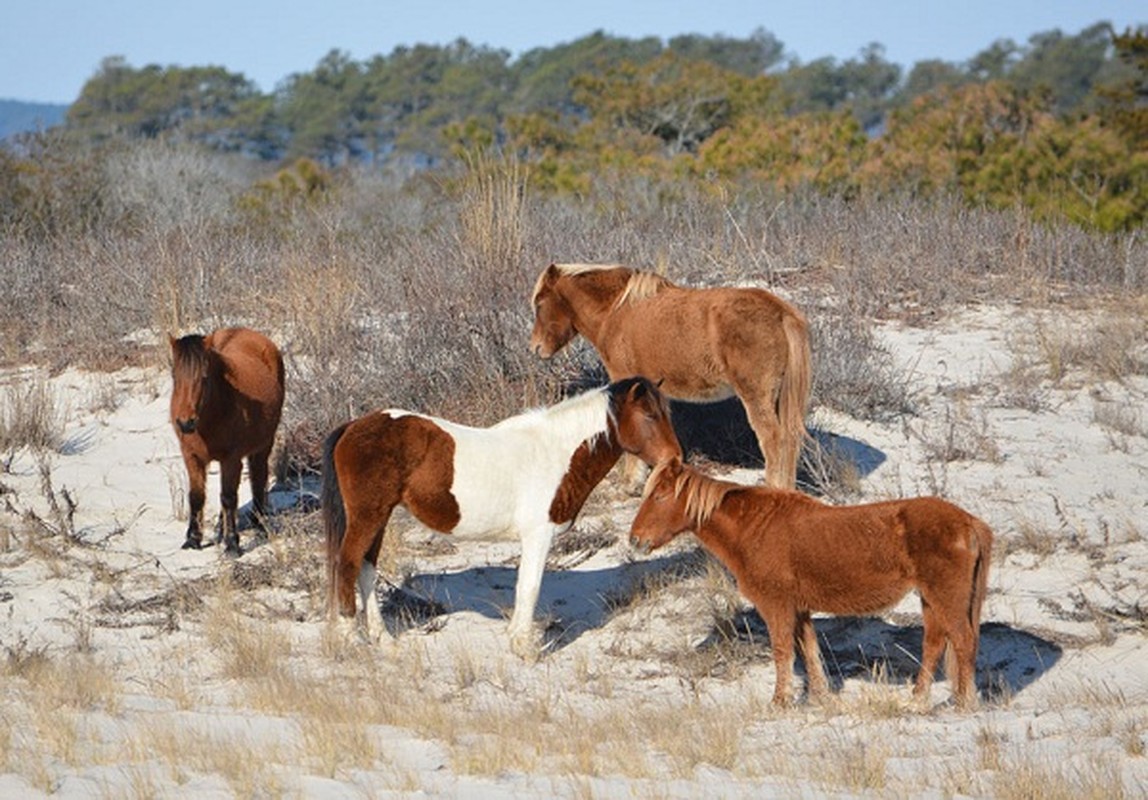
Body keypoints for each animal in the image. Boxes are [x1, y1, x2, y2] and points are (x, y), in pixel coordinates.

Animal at [169, 323, 287, 555]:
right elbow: (196, 497)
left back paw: (259, 525)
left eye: (204, 377)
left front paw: (232, 544)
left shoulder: (231, 459)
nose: (185, 423)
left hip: (263, 445)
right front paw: (193, 540)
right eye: (174, 375)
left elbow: (229, 497)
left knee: (258, 478)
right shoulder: (192, 456)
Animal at [323, 376, 679, 656]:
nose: (675, 460)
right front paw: (524, 648)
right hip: (367, 516)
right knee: (348, 564)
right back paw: (352, 640)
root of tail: (352, 427)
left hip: (378, 517)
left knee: (366, 568)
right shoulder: (538, 534)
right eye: (650, 415)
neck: (555, 452)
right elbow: (530, 586)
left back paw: (382, 638)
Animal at [530, 261, 812, 486]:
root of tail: (781, 312)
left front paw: (630, 481)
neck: (615, 311)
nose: (535, 348)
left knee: (774, 442)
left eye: (540, 304)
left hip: (757, 397)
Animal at [629, 459, 996, 707]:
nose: (635, 540)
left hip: (945, 598)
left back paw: (963, 703)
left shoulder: (777, 606)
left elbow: (782, 651)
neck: (754, 528)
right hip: (931, 599)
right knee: (934, 644)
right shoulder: (800, 608)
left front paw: (780, 701)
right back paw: (917, 698)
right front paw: (817, 697)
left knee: (963, 641)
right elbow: (808, 649)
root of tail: (968, 522)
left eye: (660, 496)